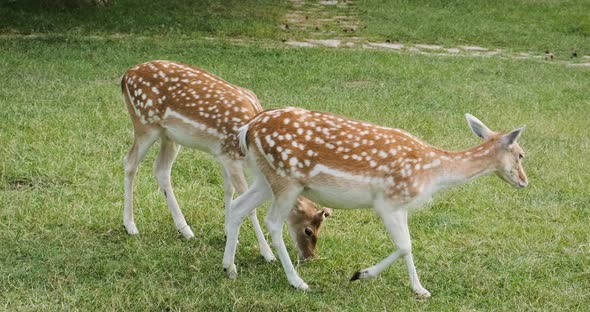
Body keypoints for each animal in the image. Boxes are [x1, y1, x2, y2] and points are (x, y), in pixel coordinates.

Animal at [122, 61, 330, 260]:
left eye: (321, 229)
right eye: (309, 230)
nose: (309, 256)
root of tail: (126, 76)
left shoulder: (224, 155)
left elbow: (228, 191)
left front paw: (229, 234)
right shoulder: (230, 157)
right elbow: (248, 206)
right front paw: (267, 253)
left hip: (169, 137)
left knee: (161, 170)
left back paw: (185, 230)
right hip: (145, 124)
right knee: (129, 162)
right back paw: (130, 225)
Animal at [222, 108, 528, 298]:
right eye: (522, 154)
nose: (524, 182)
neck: (433, 172)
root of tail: (247, 129)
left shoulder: (401, 205)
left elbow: (409, 246)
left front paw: (420, 289)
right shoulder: (388, 201)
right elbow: (404, 245)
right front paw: (361, 274)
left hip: (265, 177)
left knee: (239, 206)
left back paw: (230, 268)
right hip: (287, 179)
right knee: (273, 221)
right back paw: (298, 282)